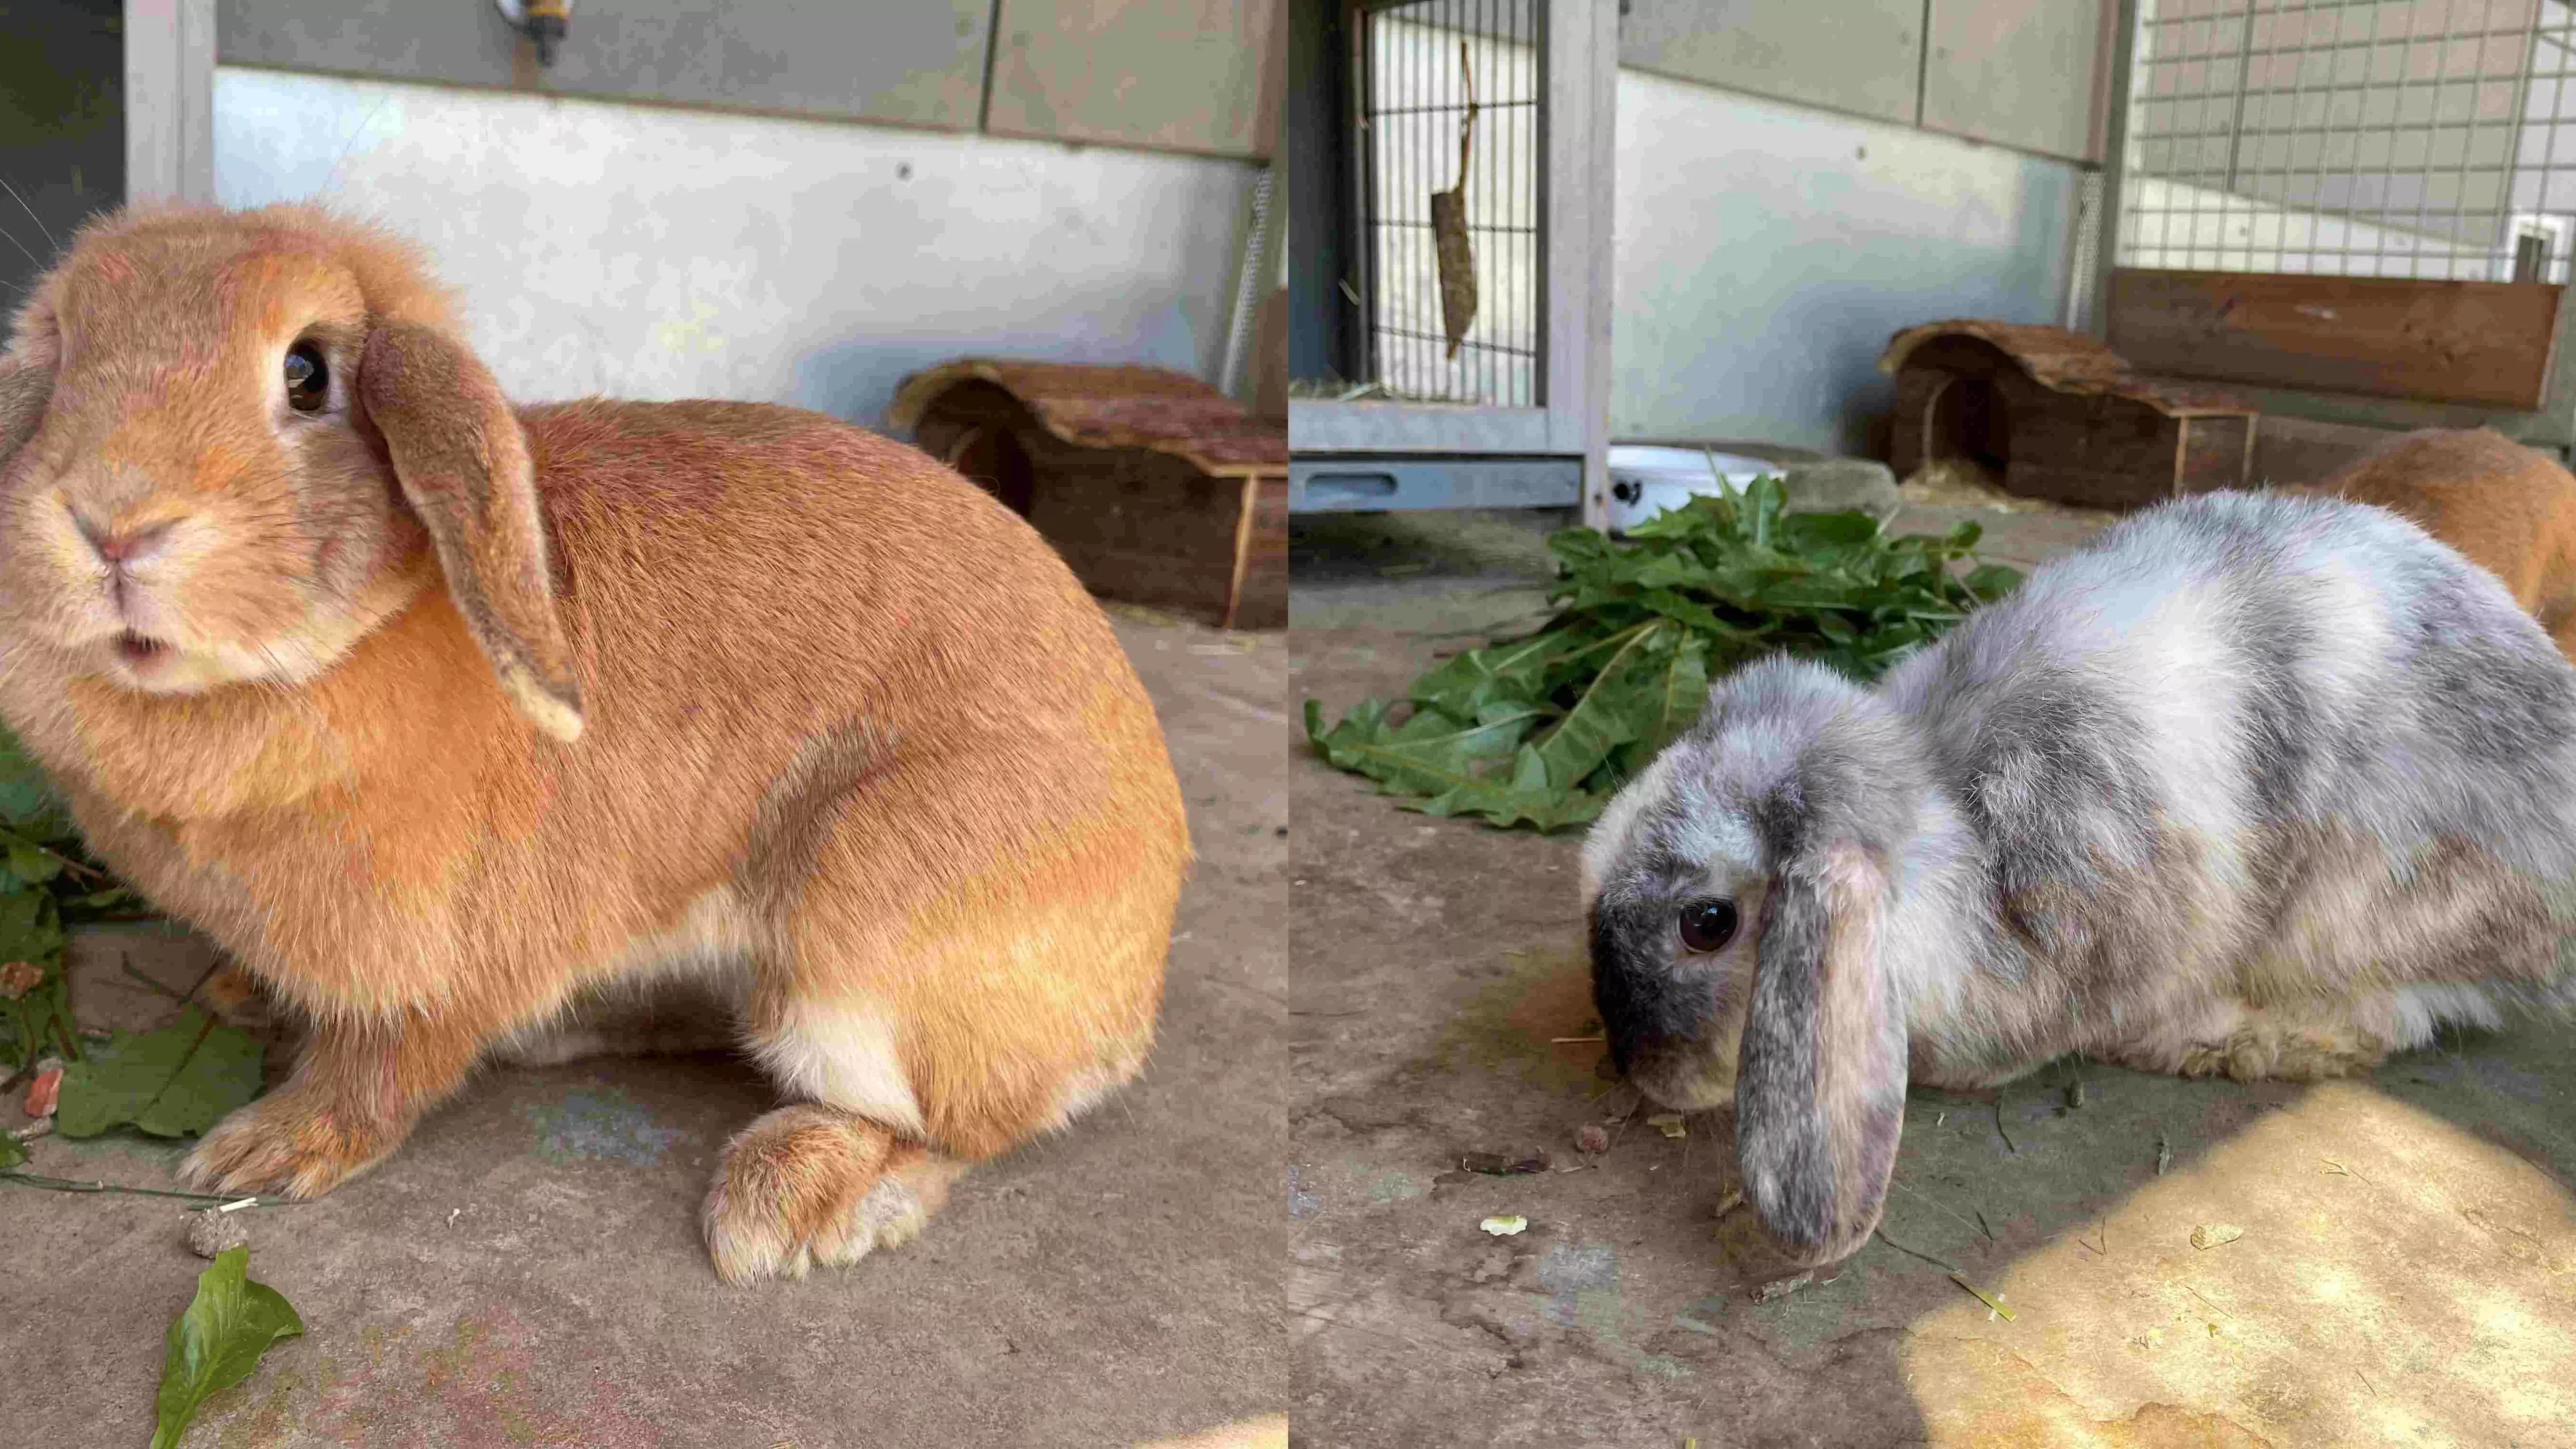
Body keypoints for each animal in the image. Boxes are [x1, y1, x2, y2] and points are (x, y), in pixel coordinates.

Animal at [0, 204, 1190, 1284]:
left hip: (856, 931)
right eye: (62, 354)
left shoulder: (438, 965)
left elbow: (379, 1073)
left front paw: (263, 1150)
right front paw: (237, 999)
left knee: (959, 1124)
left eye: (306, 374)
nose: (111, 521)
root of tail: (1135, 993)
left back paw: (787, 1203)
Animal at [1581, 488, 2576, 1268]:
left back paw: (2231, 1041)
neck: (1947, 836)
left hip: (2361, 909)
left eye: (1707, 920)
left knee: (2403, 1012)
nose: (1634, 1067)